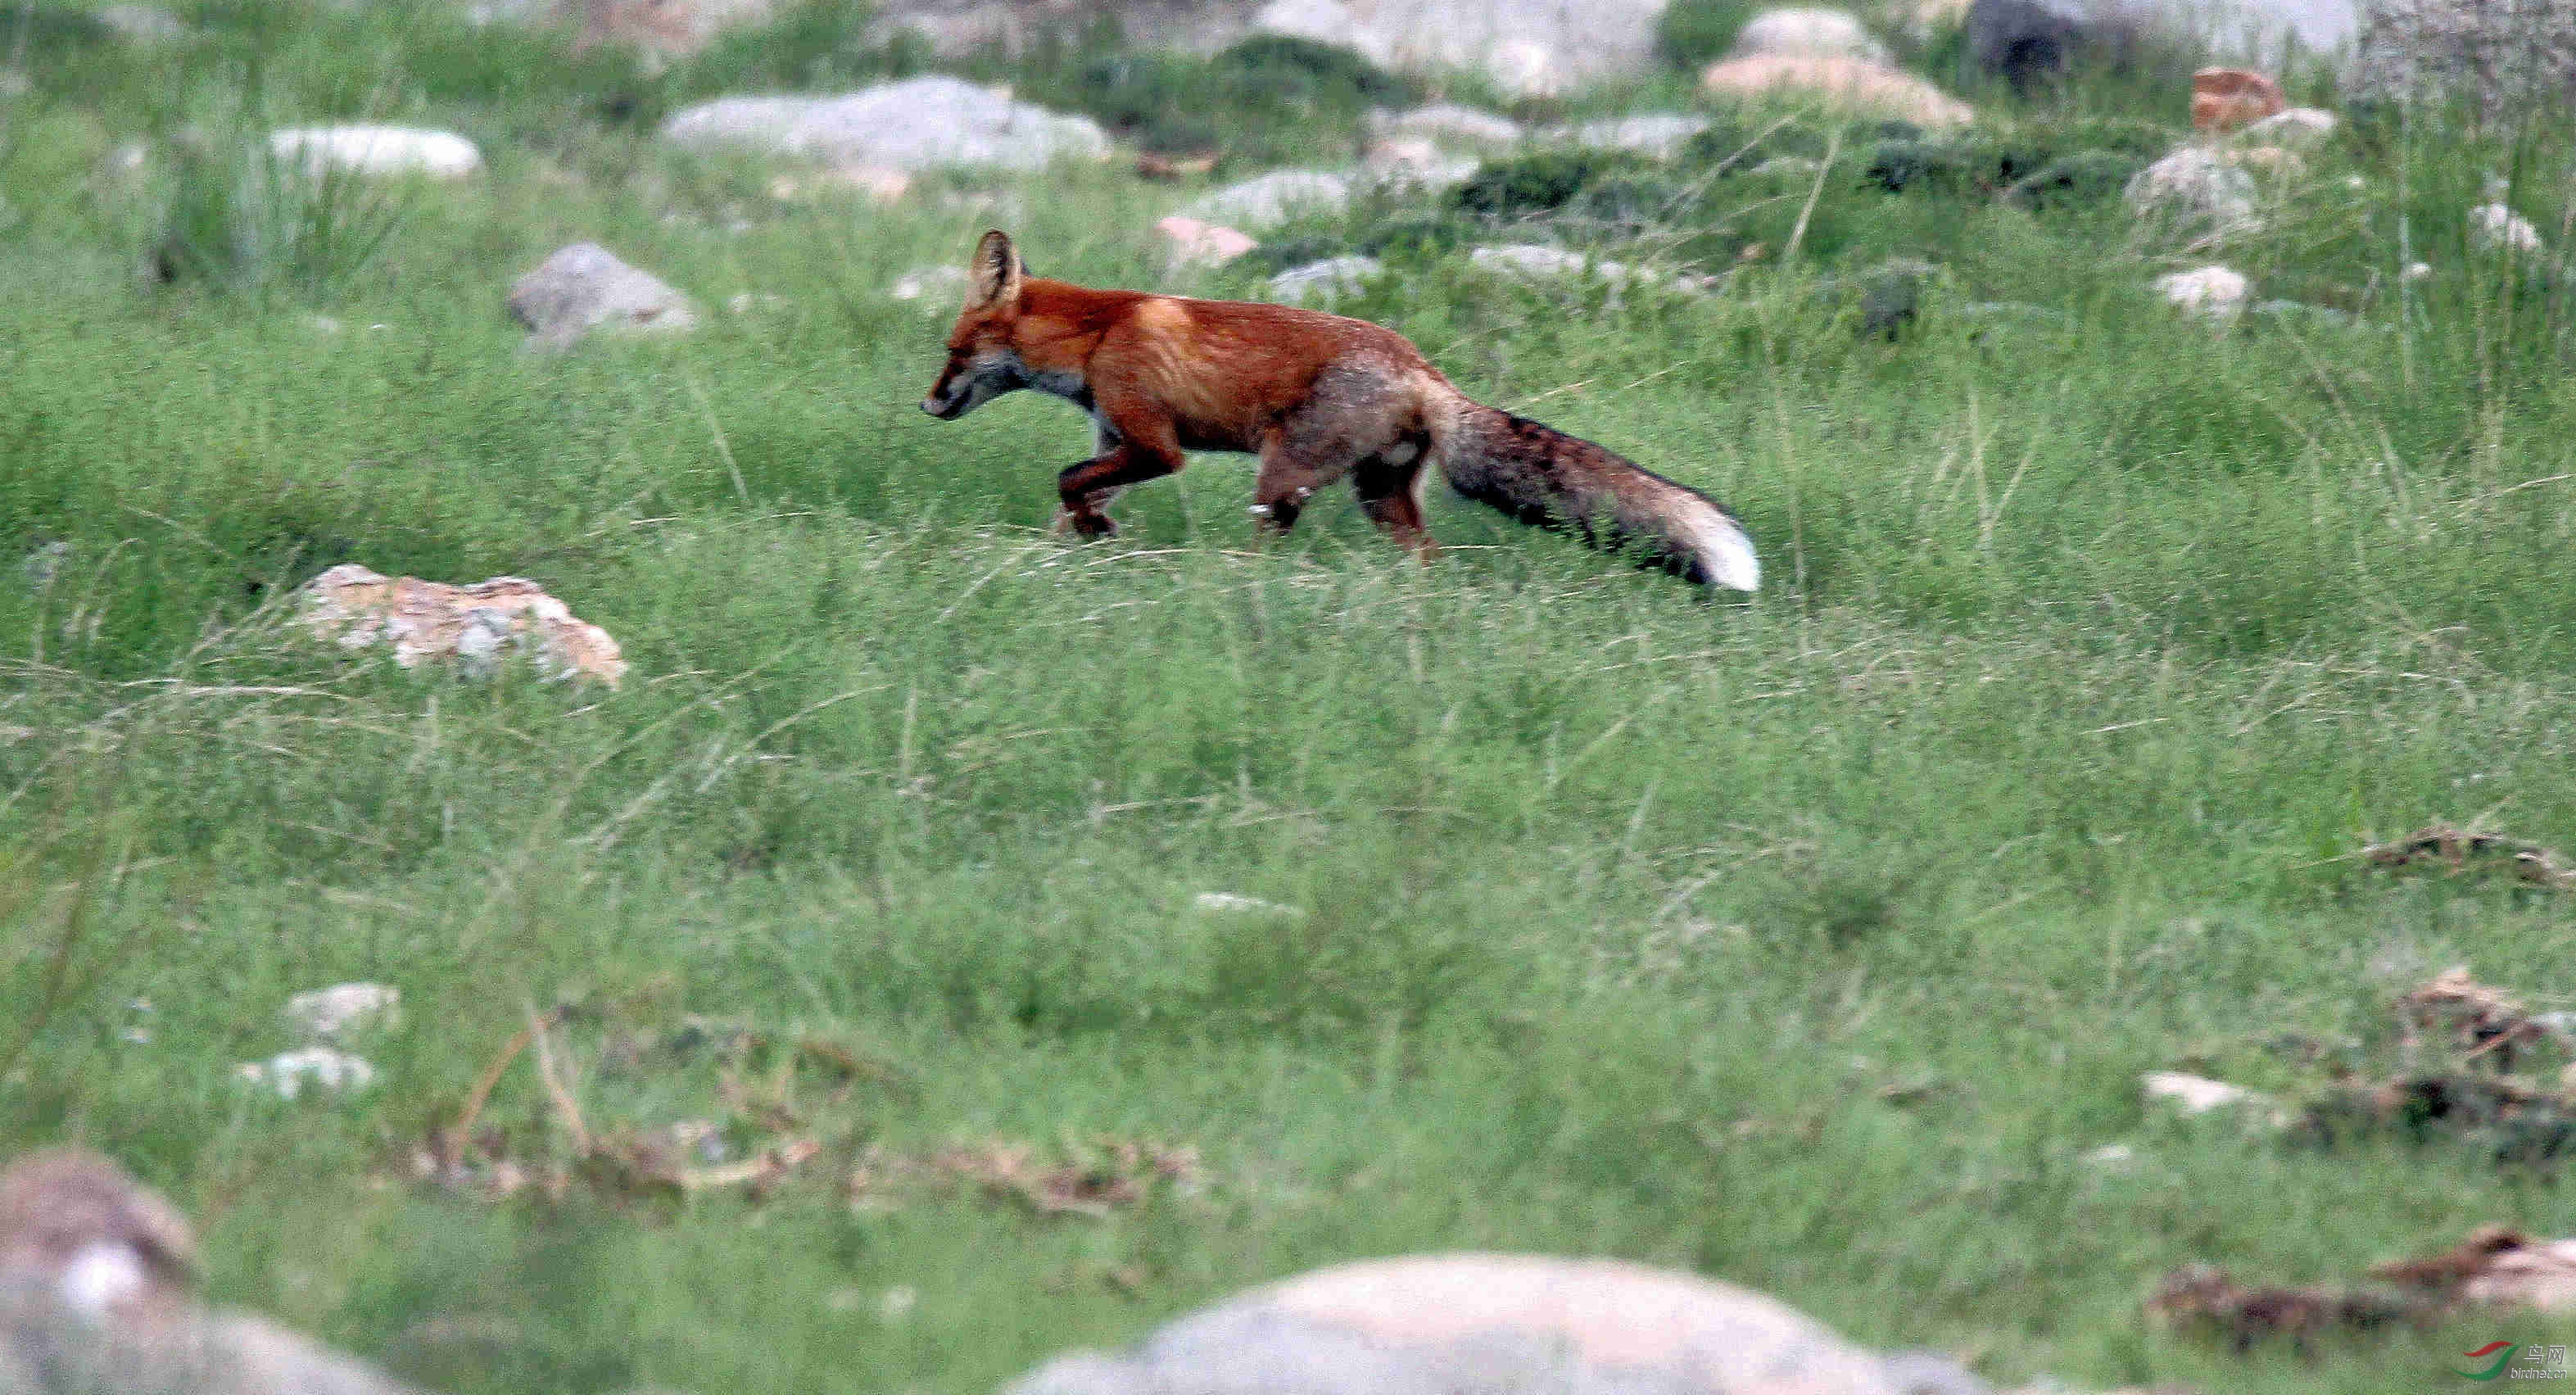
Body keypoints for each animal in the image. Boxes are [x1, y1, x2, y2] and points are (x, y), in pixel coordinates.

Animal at [917, 230, 1762, 590]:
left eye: (953, 350)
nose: (926, 404)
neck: (1097, 337)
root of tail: (1425, 370)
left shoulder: (1157, 445)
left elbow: (1066, 481)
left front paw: (1091, 538)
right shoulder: (1117, 440)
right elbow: (1072, 500)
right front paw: (1064, 556)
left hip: (1278, 481)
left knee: (1268, 547)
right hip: (1377, 497)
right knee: (1428, 560)